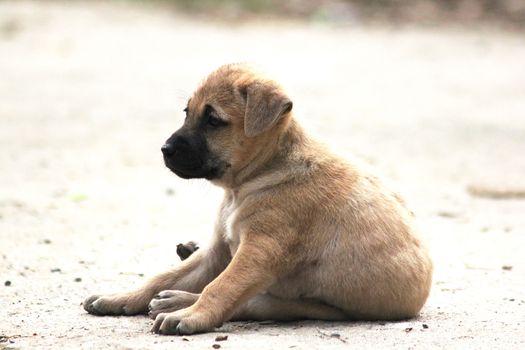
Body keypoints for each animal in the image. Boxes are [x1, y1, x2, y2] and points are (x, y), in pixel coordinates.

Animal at [83, 64, 434, 334]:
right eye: (187, 112)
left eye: (213, 120)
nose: (165, 150)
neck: (263, 171)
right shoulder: (218, 250)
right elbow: (162, 277)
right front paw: (121, 297)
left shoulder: (259, 252)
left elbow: (220, 287)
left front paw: (191, 317)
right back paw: (174, 296)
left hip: (309, 305)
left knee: (249, 303)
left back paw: (179, 304)